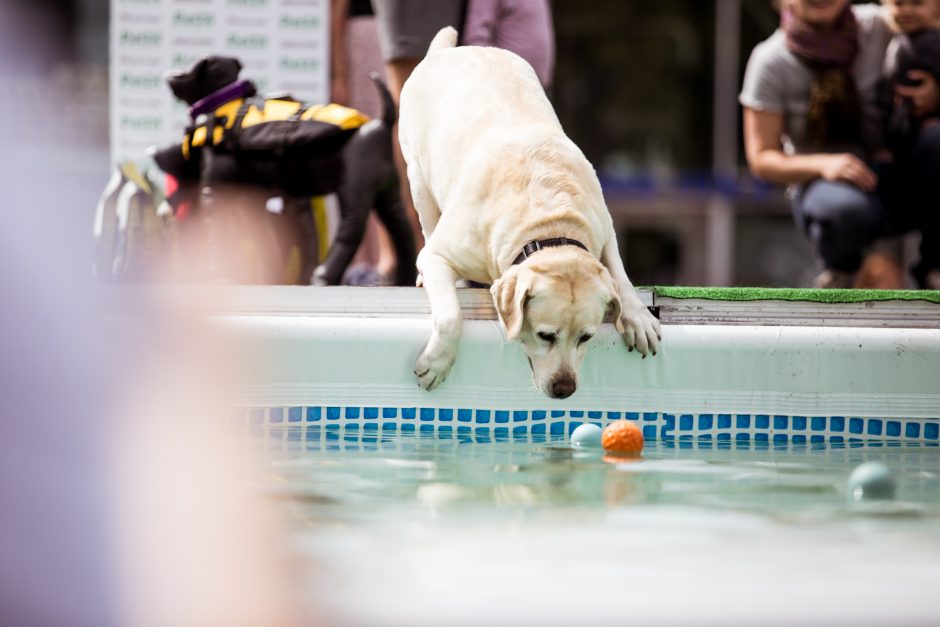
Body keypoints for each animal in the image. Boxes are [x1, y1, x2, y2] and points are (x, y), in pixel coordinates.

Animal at [151, 56, 414, 288]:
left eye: (189, 69)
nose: (169, 75)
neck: (226, 106)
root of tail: (381, 124)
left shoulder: (212, 192)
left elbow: (215, 232)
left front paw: (217, 275)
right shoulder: (267, 200)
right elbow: (272, 242)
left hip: (354, 190)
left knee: (352, 229)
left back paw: (323, 275)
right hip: (388, 194)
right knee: (402, 230)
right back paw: (404, 278)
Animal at [398, 27, 660, 400]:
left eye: (587, 337)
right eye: (545, 335)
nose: (565, 389)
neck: (546, 226)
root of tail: (450, 50)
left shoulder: (604, 227)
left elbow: (619, 273)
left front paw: (637, 316)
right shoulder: (440, 255)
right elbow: (450, 314)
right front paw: (436, 363)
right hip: (417, 177)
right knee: (427, 222)